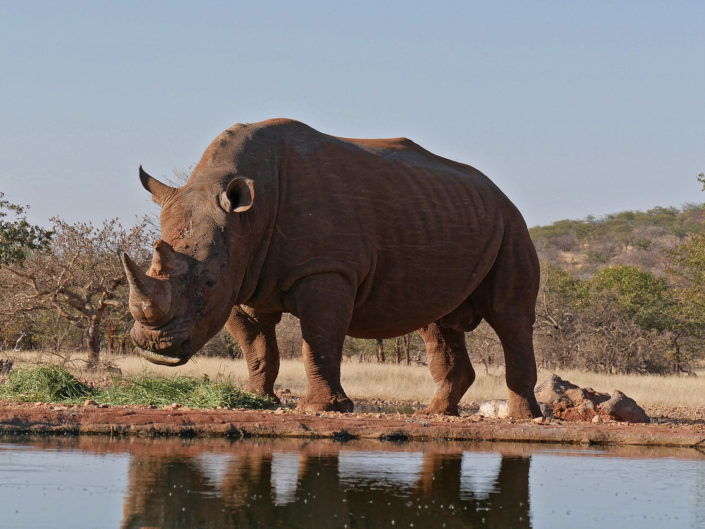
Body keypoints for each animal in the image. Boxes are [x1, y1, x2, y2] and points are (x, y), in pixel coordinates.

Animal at [121, 118, 542, 418]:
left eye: (208, 282)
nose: (155, 347)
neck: (247, 216)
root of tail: (497, 192)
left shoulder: (325, 270)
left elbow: (319, 340)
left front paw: (322, 408)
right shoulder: (241, 276)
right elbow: (256, 343)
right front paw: (256, 399)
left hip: (511, 224)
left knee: (510, 317)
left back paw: (522, 418)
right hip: (448, 214)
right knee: (437, 321)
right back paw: (436, 414)